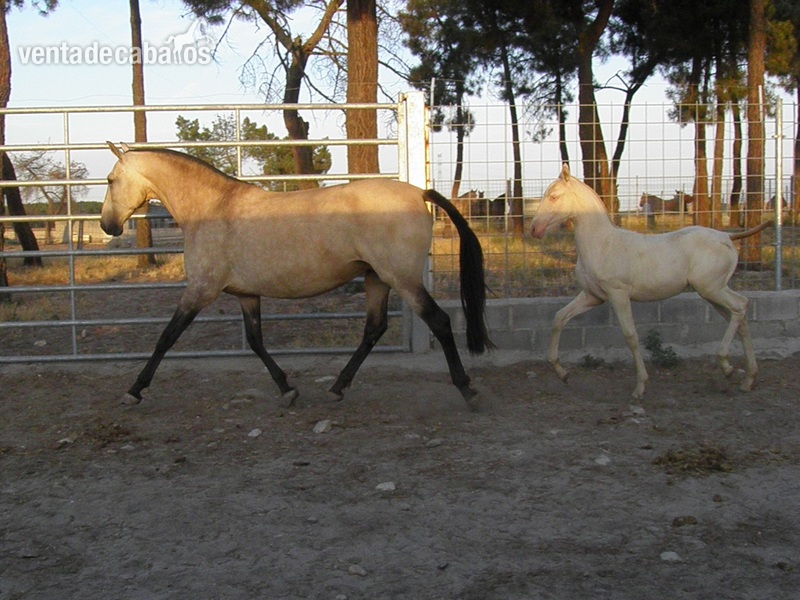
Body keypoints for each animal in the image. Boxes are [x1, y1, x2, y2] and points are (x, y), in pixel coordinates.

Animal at [100, 142, 493, 407]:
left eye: (110, 179)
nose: (108, 226)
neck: (212, 210)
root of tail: (420, 192)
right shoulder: (246, 294)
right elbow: (256, 341)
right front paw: (287, 389)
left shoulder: (200, 290)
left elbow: (166, 337)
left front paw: (134, 390)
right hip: (377, 279)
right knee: (374, 328)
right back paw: (338, 387)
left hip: (403, 280)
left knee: (439, 321)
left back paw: (467, 389)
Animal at [532, 164, 770, 400]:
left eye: (554, 196)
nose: (534, 229)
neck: (602, 245)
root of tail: (727, 237)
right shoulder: (592, 296)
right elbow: (559, 318)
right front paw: (562, 373)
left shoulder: (618, 294)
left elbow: (630, 336)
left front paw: (640, 387)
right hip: (712, 293)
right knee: (740, 318)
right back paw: (748, 378)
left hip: (712, 289)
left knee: (740, 306)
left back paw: (727, 367)